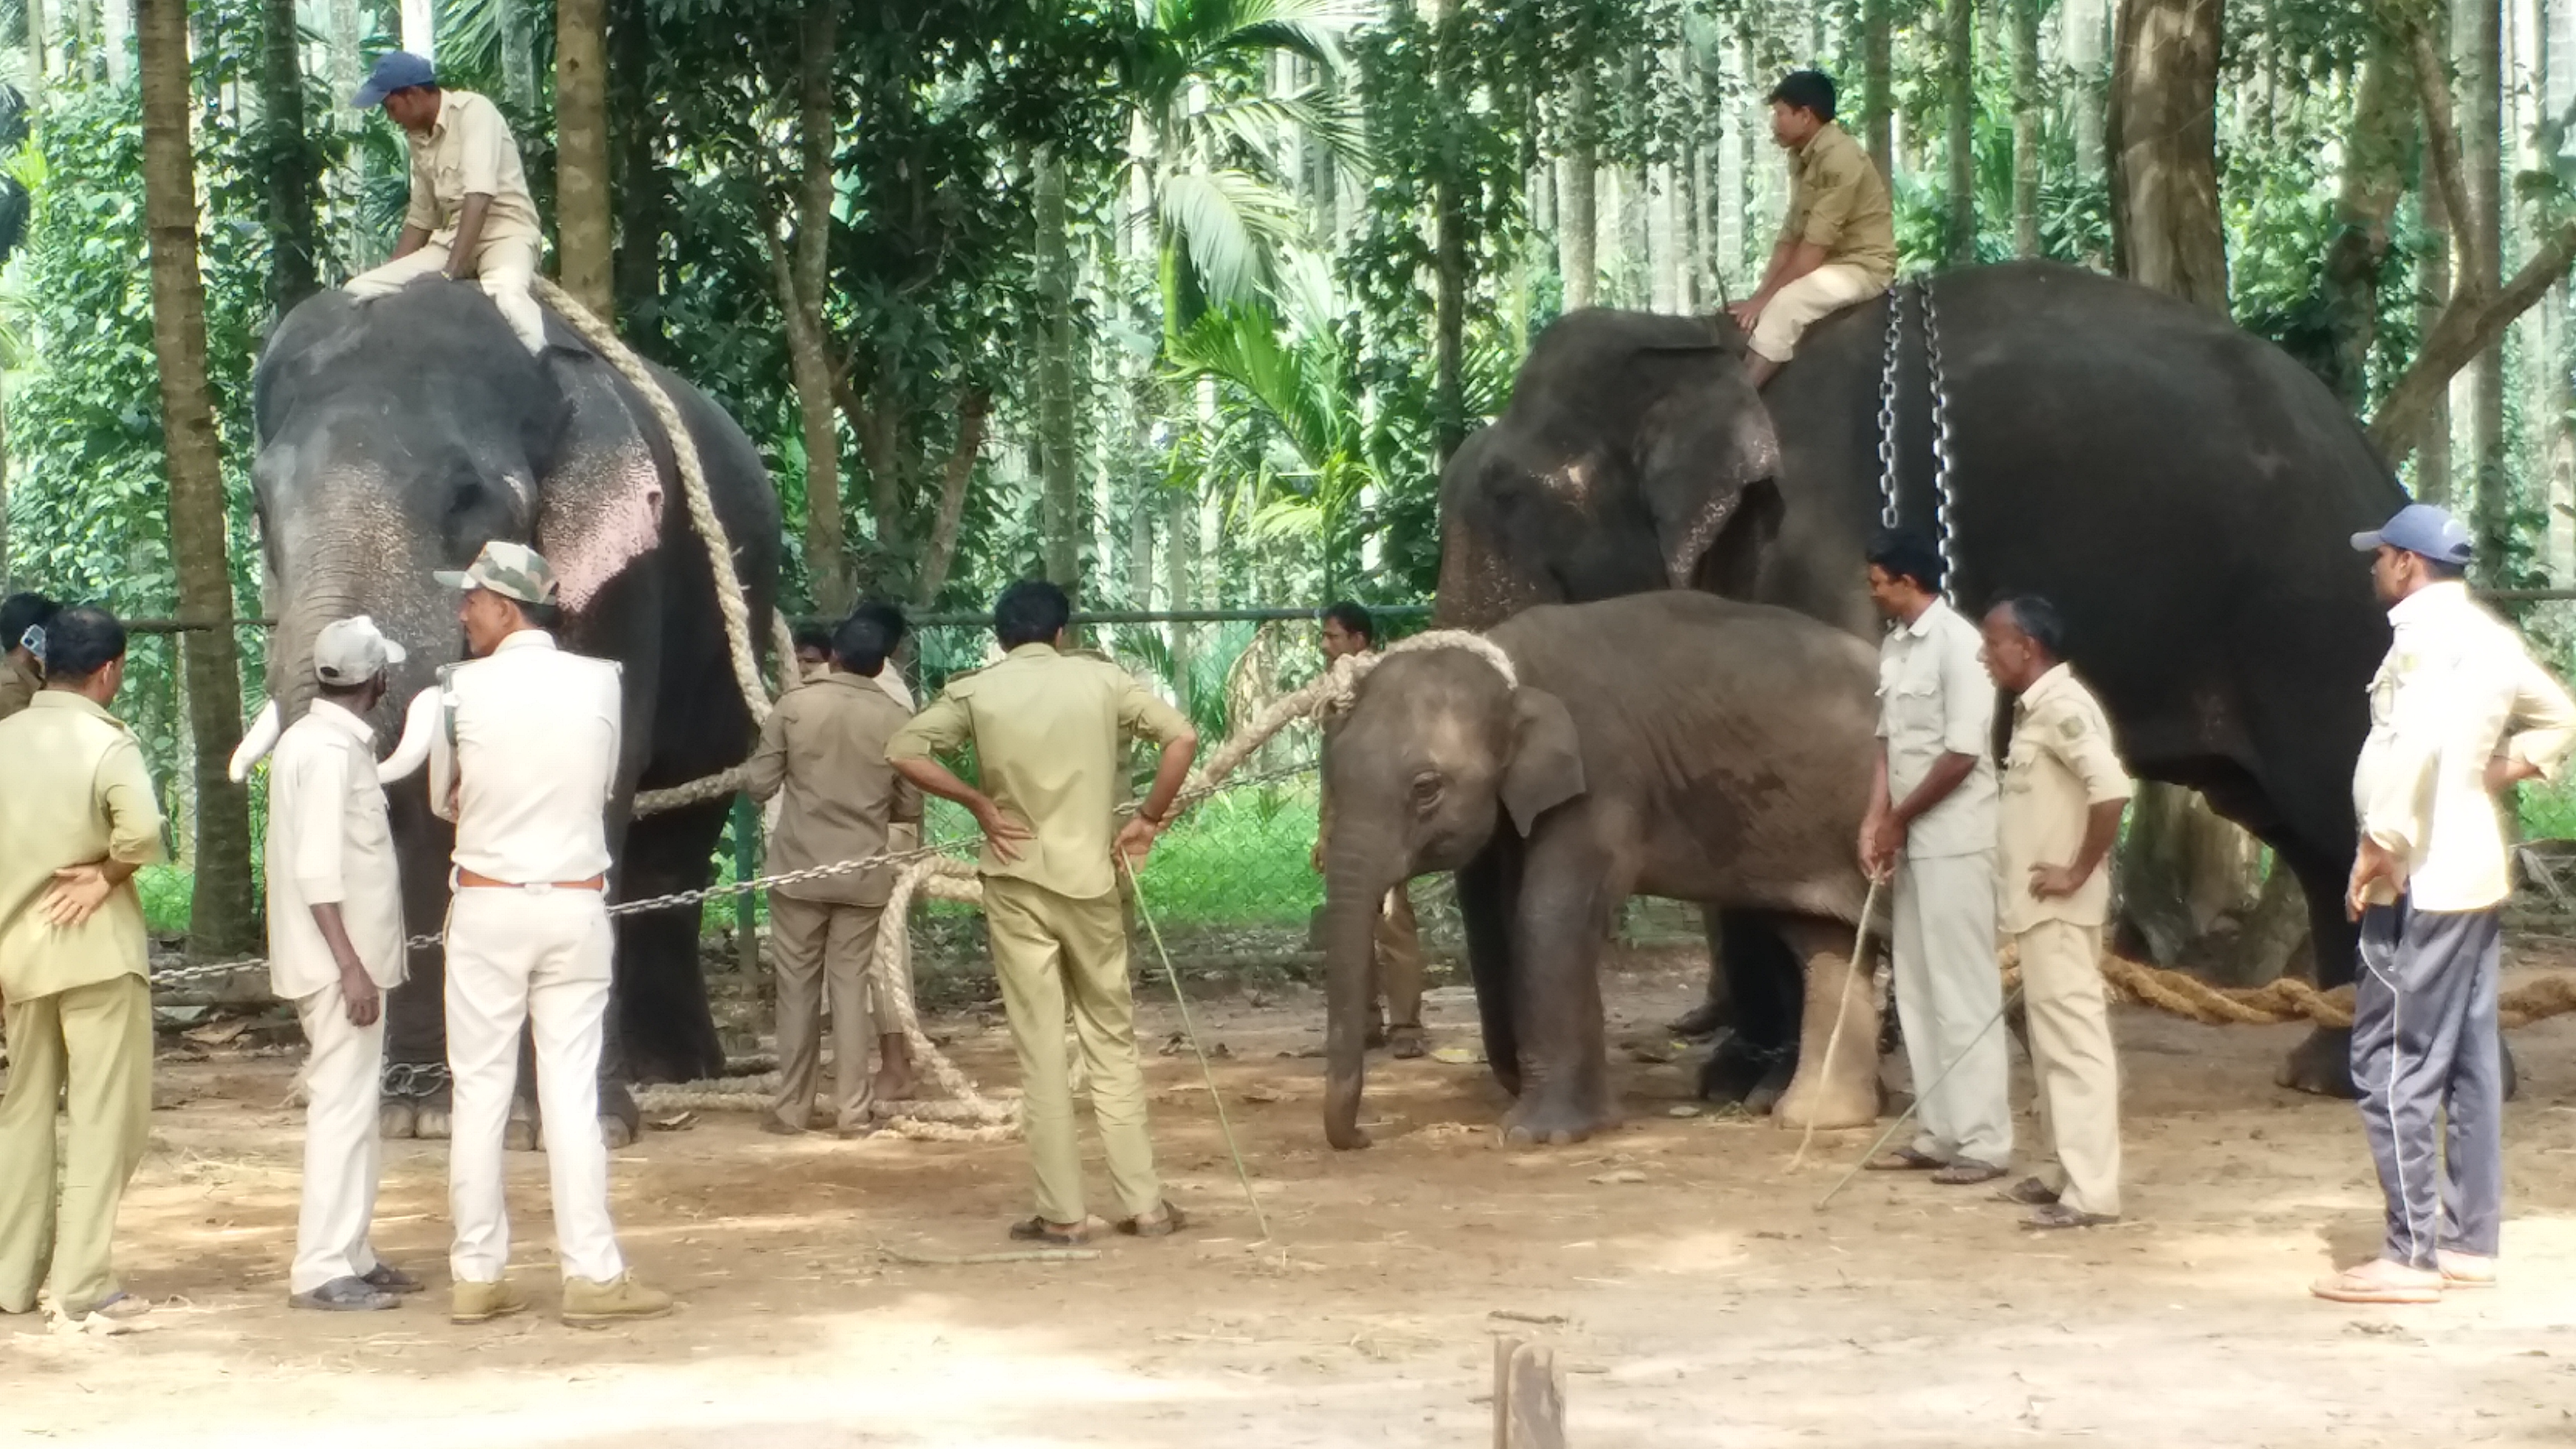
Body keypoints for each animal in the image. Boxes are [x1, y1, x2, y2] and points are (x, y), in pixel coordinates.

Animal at [247, 280, 778, 1139]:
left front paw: (578, 1123)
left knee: (678, 833)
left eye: (468, 497)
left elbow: (594, 774)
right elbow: (416, 814)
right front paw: (420, 1118)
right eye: (259, 505)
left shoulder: (624, 580)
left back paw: (671, 1071)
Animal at [1319, 593, 1886, 1144]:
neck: (1516, 668)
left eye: (1426, 788)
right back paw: (1812, 1118)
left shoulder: (1604, 774)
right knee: (1821, 939)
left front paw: (1539, 1136)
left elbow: (1548, 916)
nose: (1364, 1139)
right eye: (1331, 773)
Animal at [1442, 259, 2400, 1093]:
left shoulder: (1820, 542)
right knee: (2309, 843)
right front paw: (1735, 1078)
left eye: (1509, 498)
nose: (1506, 1079)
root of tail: (2374, 463)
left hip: (2321, 624)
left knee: (2345, 817)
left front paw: (1763, 1083)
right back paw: (2327, 1074)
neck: (1703, 338)